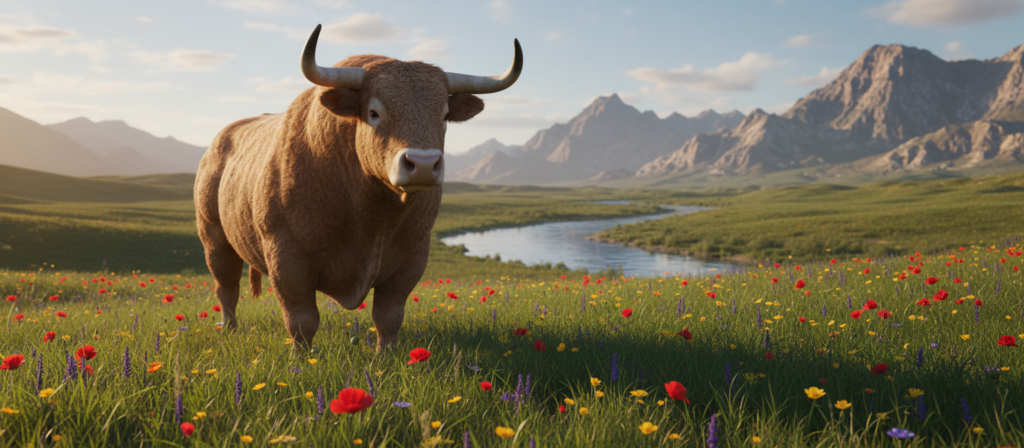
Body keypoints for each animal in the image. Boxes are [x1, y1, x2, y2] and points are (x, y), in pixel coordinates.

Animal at [194, 24, 522, 352]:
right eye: (374, 112)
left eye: (443, 115)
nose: (423, 164)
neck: (371, 215)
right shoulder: (286, 259)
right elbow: (302, 320)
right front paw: (301, 360)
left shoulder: (411, 260)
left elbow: (388, 316)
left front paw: (385, 356)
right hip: (214, 238)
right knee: (227, 288)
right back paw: (230, 329)